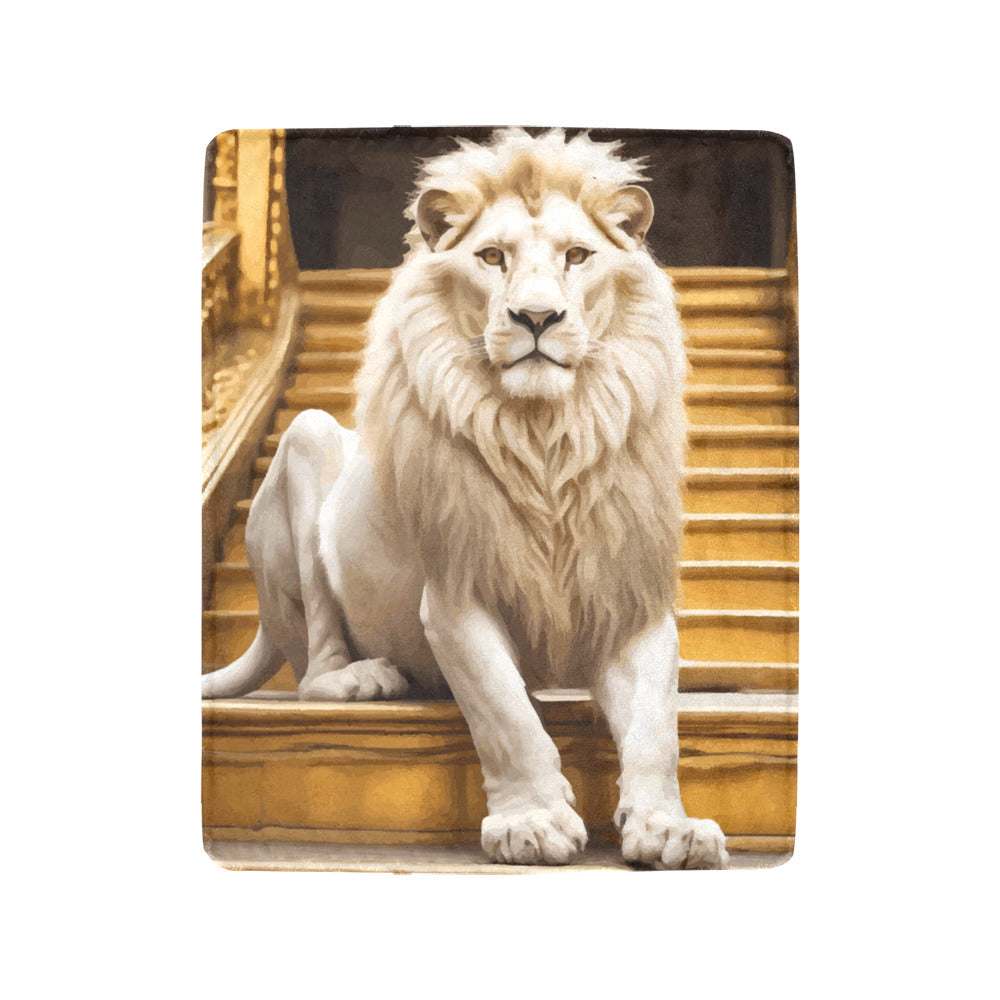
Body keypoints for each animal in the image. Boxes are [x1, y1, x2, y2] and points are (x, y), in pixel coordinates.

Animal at [203, 128, 729, 869]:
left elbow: (658, 727)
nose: (536, 317)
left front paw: (669, 828)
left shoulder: (630, 594)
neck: (546, 439)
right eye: (491, 257)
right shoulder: (457, 593)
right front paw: (531, 821)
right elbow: (504, 710)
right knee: (313, 670)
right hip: (306, 442)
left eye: (577, 256)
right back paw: (366, 679)